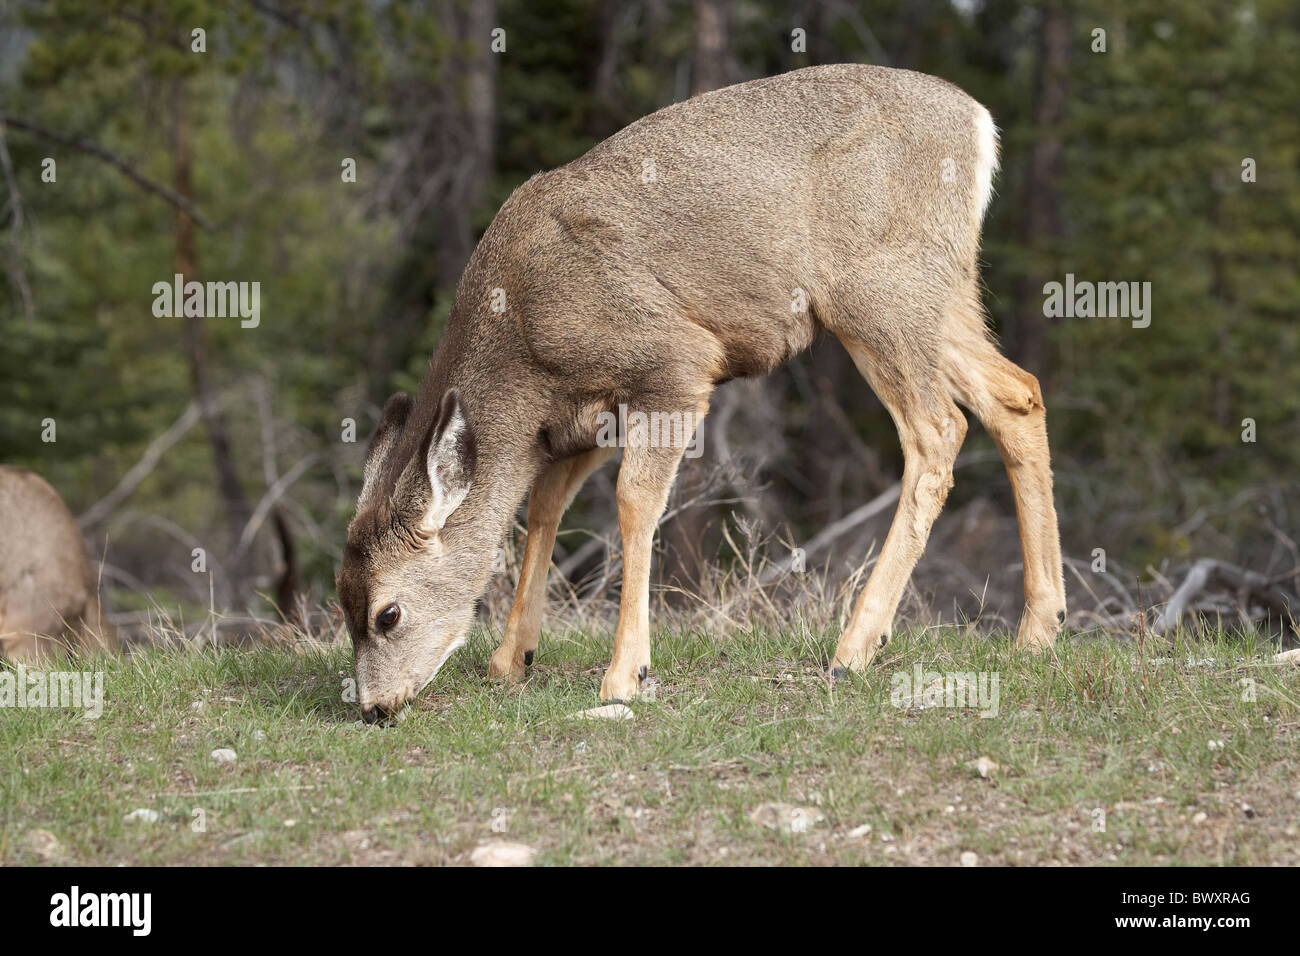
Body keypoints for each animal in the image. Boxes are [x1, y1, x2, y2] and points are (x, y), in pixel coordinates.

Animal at [343, 63, 1066, 723]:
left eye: (387, 613)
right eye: (342, 601)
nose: (374, 708)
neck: (522, 345)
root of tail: (978, 121)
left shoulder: (673, 360)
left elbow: (633, 502)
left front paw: (625, 673)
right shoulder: (583, 416)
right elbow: (544, 506)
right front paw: (511, 658)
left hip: (879, 288)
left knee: (938, 429)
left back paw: (855, 646)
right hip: (941, 293)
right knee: (1018, 394)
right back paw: (1039, 627)